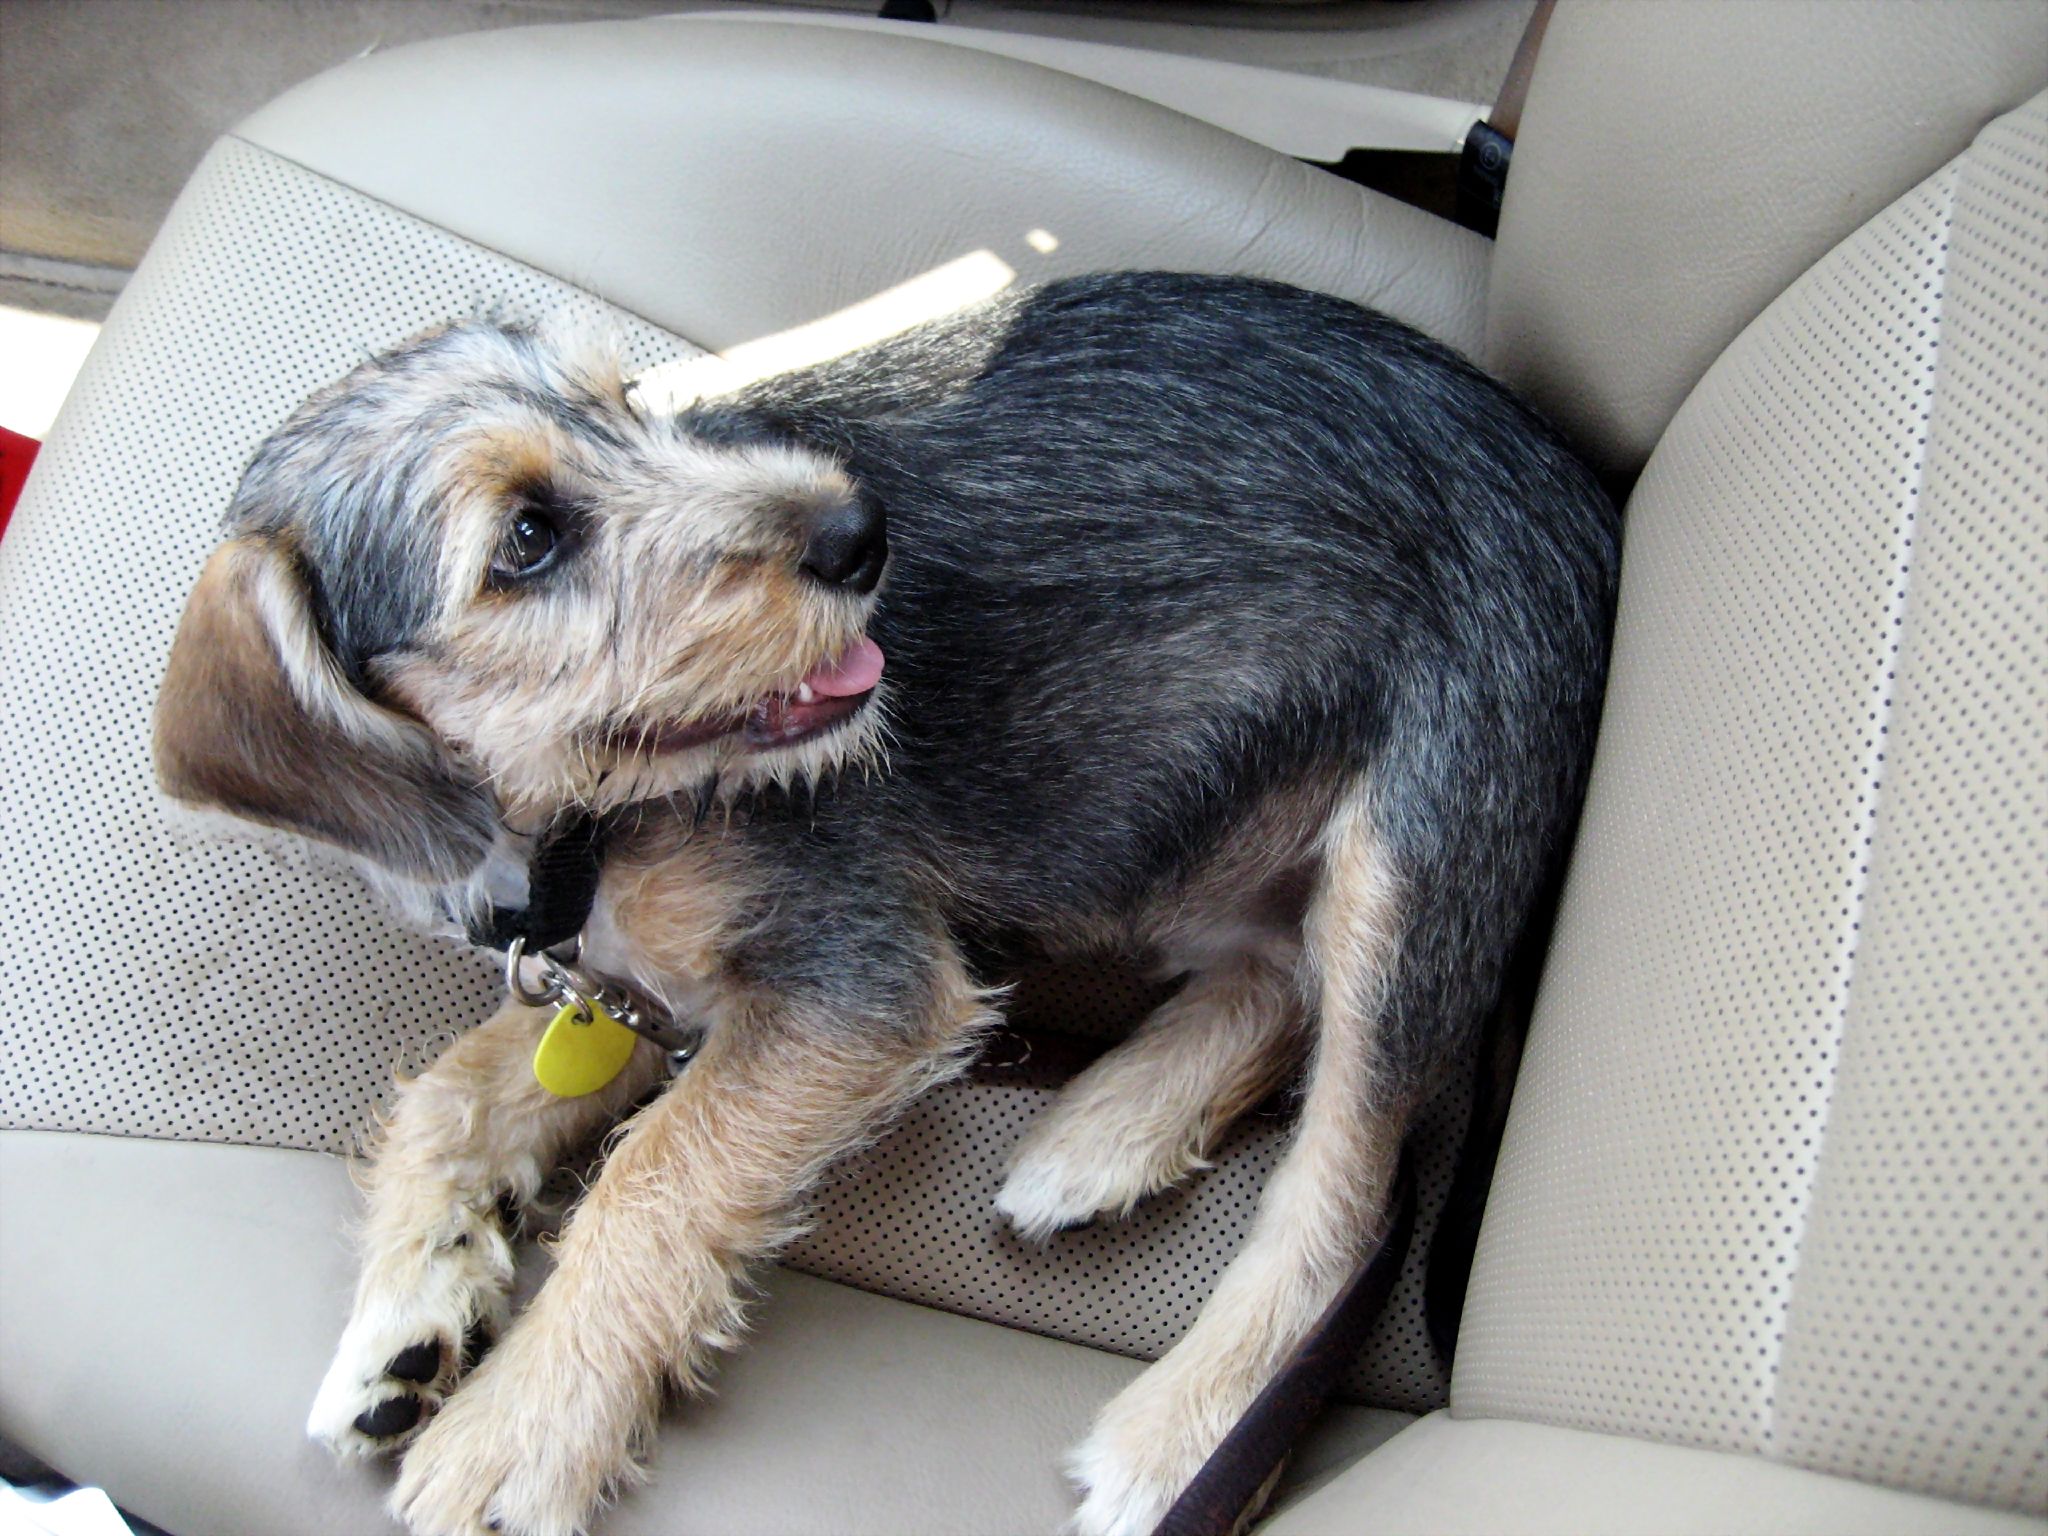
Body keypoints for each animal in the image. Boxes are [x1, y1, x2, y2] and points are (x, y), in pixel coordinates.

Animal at [153, 272, 1618, 1536]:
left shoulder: (853, 978)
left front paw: (524, 1427)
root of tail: (1594, 500)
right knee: (1273, 974)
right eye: (526, 540)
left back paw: (1183, 1433)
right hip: (1158, 820)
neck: (578, 824)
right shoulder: (629, 989)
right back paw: (1106, 1132)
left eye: (628, 401)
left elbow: (655, 1170)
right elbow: (453, 1094)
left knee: (1346, 1184)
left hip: (1414, 838)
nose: (856, 532)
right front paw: (405, 1323)